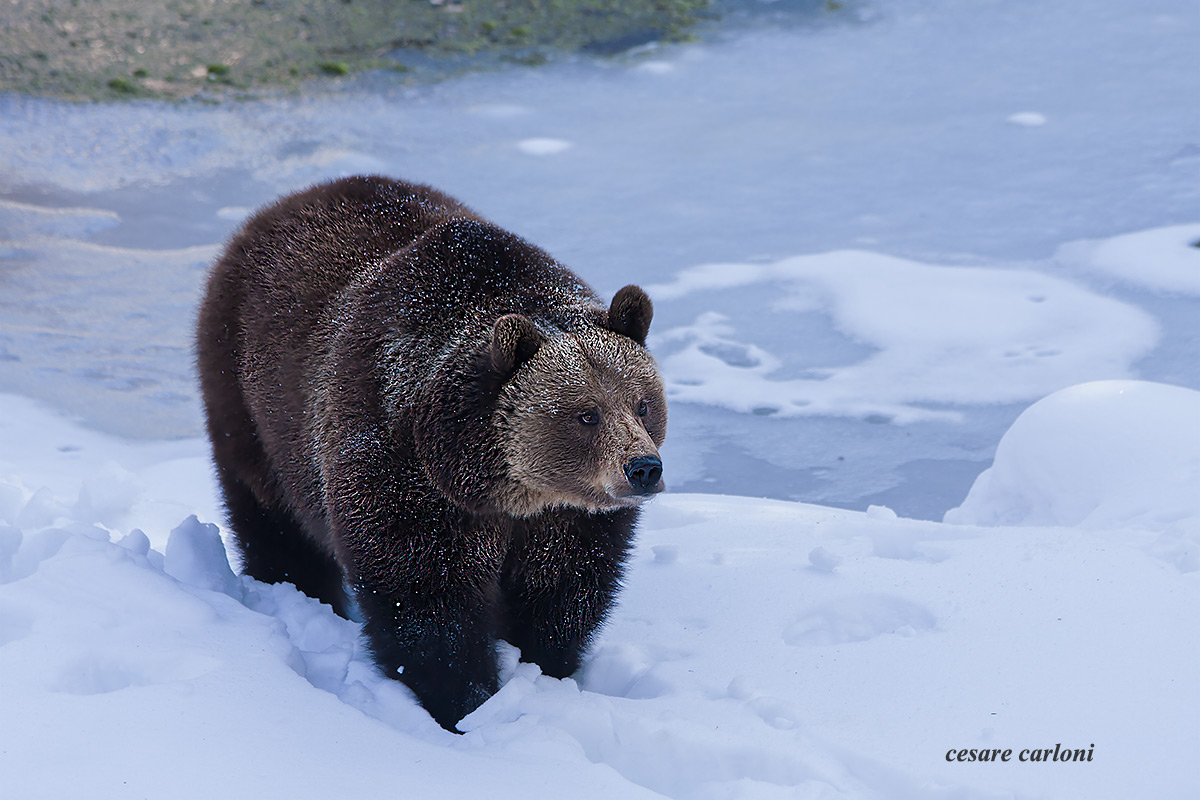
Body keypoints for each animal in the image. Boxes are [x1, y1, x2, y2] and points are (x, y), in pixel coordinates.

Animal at [196, 175, 667, 731]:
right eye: (585, 414)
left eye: (642, 403)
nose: (643, 468)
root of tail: (280, 206)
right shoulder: (401, 469)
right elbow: (425, 596)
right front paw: (466, 699)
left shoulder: (568, 518)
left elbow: (562, 590)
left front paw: (543, 669)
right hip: (250, 400)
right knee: (271, 515)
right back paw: (293, 588)